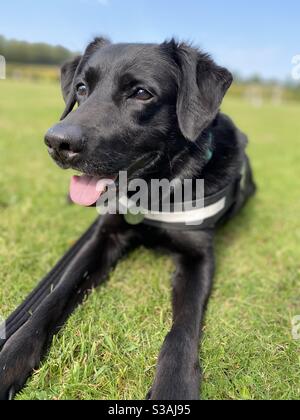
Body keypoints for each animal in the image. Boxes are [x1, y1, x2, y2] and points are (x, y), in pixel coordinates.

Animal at [0, 38, 255, 400]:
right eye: (81, 88)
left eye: (141, 93)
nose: (57, 142)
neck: (153, 194)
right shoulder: (104, 237)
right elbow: (55, 295)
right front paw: (11, 358)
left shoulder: (198, 255)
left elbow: (183, 325)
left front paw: (173, 387)